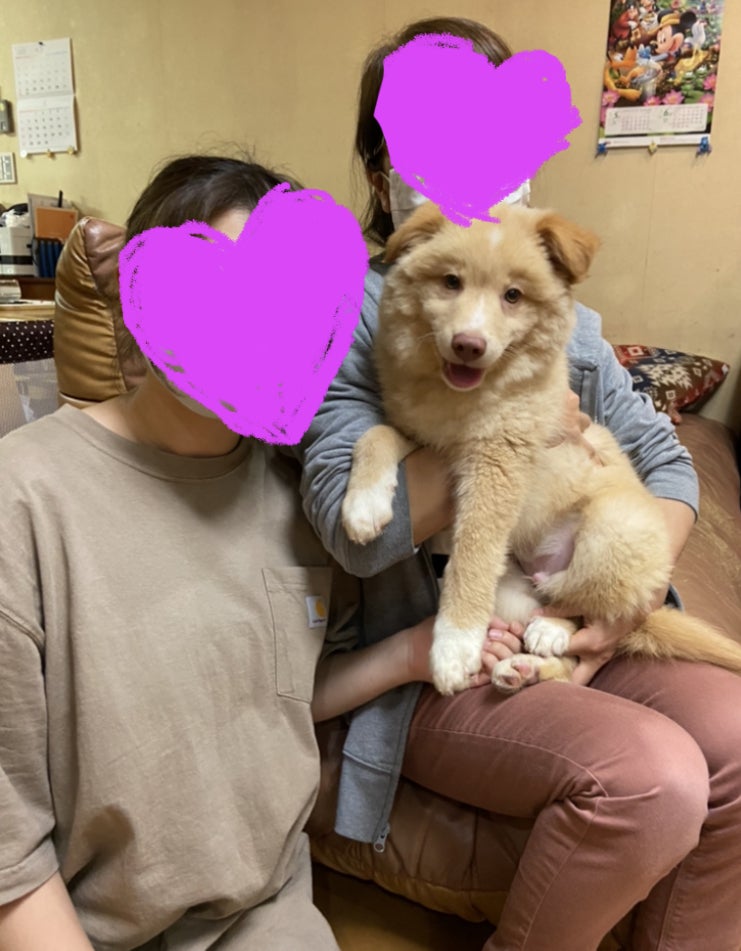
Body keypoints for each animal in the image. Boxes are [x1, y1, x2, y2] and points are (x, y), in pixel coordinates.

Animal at [341, 201, 741, 695]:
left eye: (513, 295)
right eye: (451, 282)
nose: (468, 345)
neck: (460, 399)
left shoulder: (501, 460)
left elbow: (472, 555)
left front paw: (453, 646)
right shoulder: (419, 434)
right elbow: (374, 435)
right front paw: (363, 506)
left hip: (613, 532)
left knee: (579, 604)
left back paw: (550, 631)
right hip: (514, 590)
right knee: (565, 655)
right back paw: (522, 668)